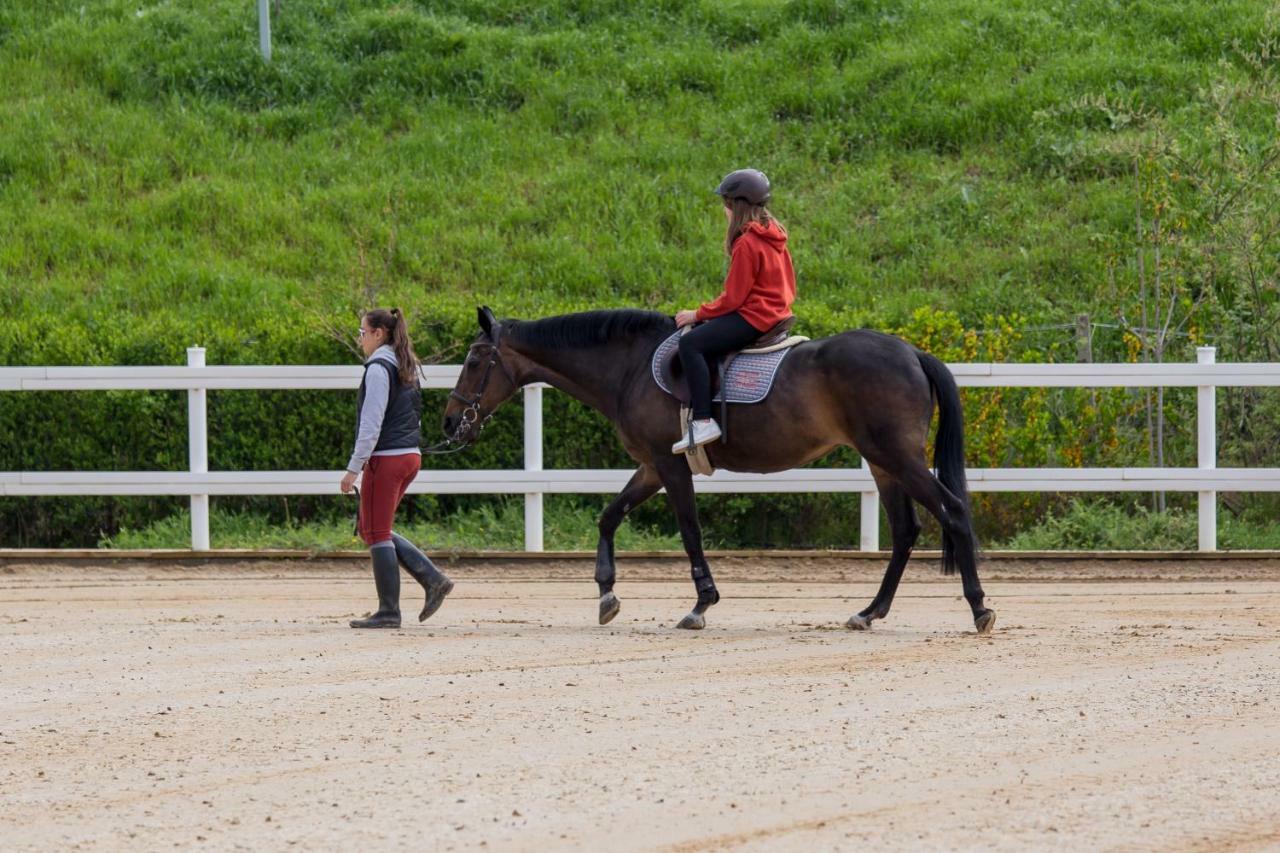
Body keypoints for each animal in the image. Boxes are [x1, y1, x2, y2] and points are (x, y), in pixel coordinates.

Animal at [445, 306, 993, 630]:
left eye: (473, 362)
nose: (451, 422)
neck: (630, 366)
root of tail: (912, 352)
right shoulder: (651, 466)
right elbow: (608, 516)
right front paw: (606, 593)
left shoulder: (670, 467)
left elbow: (689, 530)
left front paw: (702, 602)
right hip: (883, 464)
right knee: (905, 531)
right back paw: (870, 611)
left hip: (897, 458)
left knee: (953, 512)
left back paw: (978, 605)